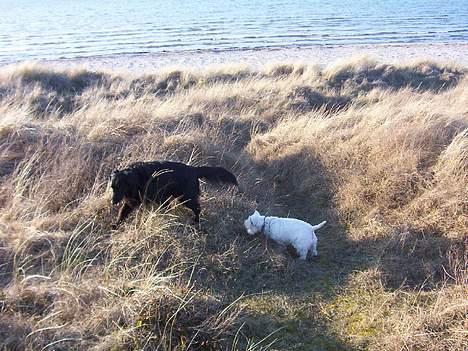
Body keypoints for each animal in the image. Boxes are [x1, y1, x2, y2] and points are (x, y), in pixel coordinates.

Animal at [109, 162, 238, 226]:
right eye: (112, 188)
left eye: (120, 187)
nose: (112, 202)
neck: (136, 178)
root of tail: (194, 169)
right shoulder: (131, 202)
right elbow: (122, 213)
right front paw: (116, 225)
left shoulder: (160, 198)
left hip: (186, 198)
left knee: (197, 208)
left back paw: (196, 221)